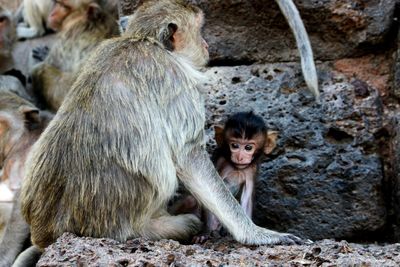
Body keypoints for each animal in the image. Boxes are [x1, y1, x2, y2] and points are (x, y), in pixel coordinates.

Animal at [15, 0, 304, 266]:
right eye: (199, 29)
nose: (206, 44)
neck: (143, 40)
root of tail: (45, 234)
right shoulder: (178, 80)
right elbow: (189, 157)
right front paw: (256, 234)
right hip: (123, 227)